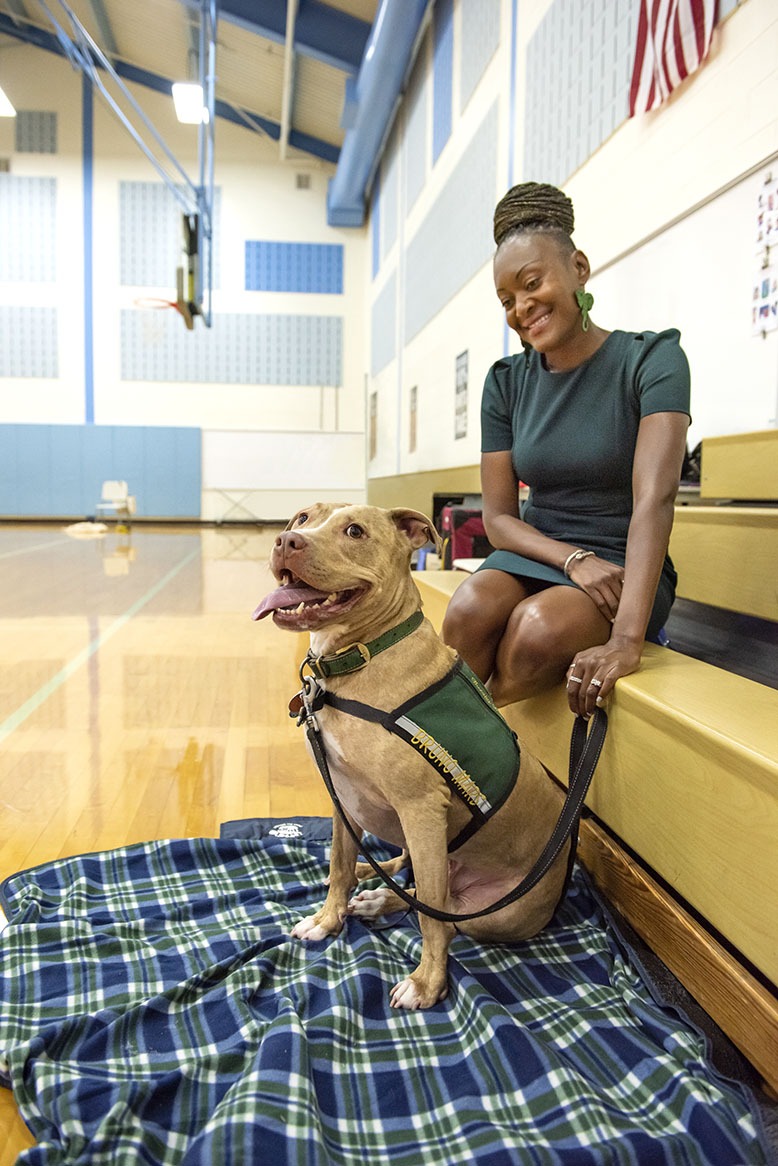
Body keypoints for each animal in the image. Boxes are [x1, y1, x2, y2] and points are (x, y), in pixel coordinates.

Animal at [253, 506, 569, 1007]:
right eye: (302, 517)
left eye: (355, 531)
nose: (287, 541)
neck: (360, 657)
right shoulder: (341, 795)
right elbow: (338, 864)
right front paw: (327, 919)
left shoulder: (421, 810)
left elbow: (431, 919)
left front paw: (427, 983)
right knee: (409, 876)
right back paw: (373, 880)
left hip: (492, 908)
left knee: (442, 907)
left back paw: (386, 898)